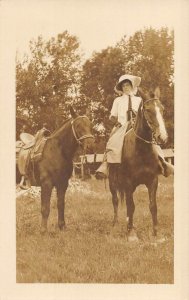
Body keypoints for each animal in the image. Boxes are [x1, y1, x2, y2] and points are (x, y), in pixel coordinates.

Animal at [108, 87, 169, 241]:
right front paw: (131, 234)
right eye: (147, 109)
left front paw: (156, 233)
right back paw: (116, 224)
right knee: (115, 201)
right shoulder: (128, 183)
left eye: (162, 109)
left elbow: (153, 206)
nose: (162, 137)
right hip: (113, 182)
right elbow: (131, 206)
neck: (141, 151)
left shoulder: (153, 181)